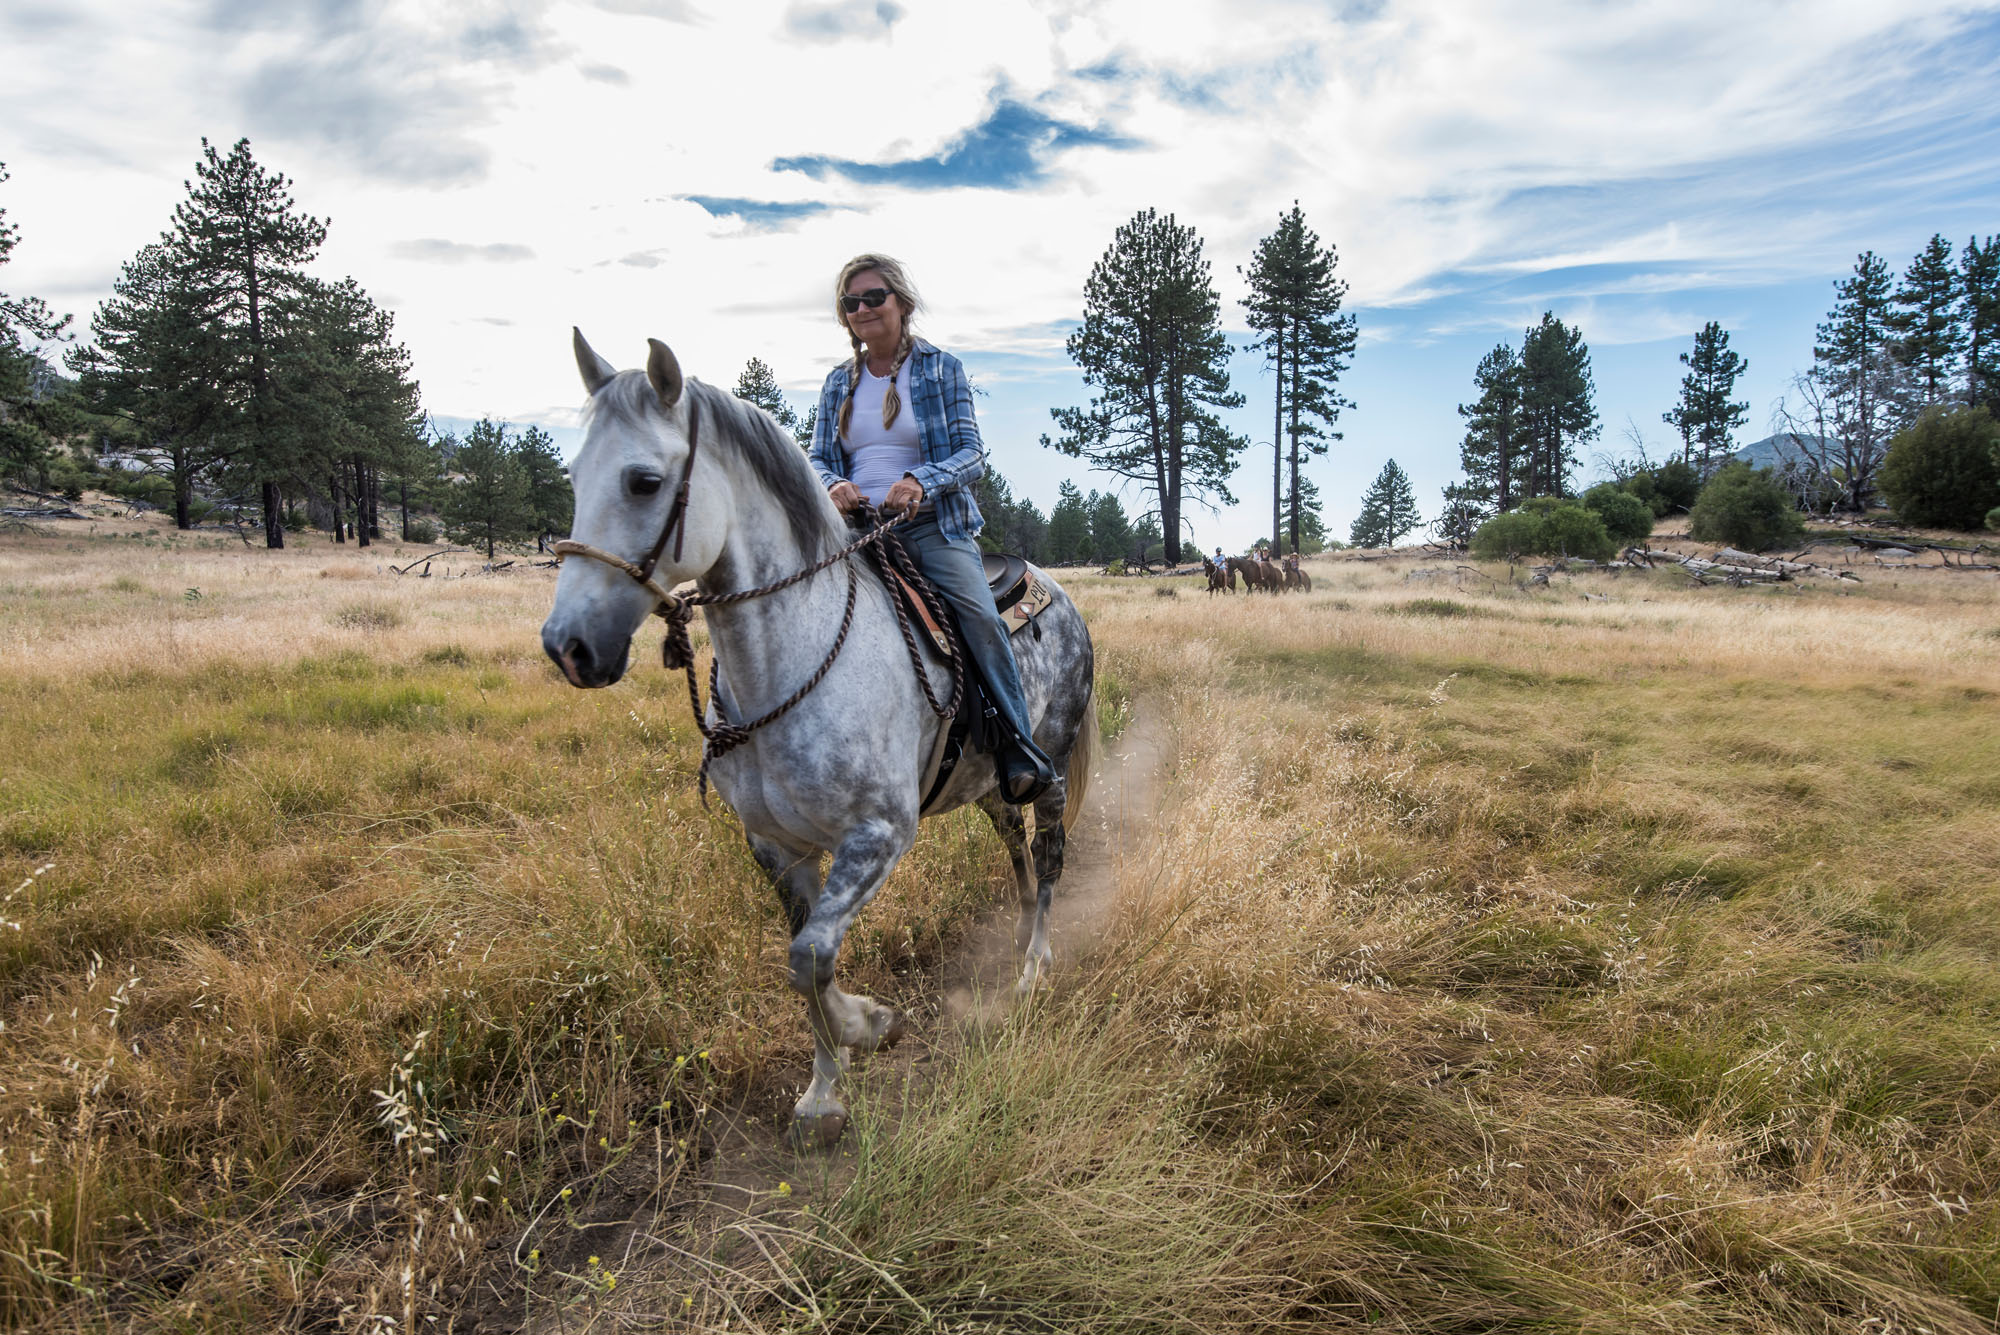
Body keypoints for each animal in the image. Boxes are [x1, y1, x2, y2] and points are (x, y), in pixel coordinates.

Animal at [540, 335, 1104, 1151]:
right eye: (573, 476)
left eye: (644, 481)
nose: (568, 647)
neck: (788, 657)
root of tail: (1058, 592)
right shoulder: (778, 847)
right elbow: (808, 961)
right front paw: (827, 1084)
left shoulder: (878, 834)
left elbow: (808, 958)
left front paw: (866, 1031)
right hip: (987, 783)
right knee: (1015, 844)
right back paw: (1021, 923)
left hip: (1050, 766)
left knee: (1052, 850)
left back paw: (1033, 966)